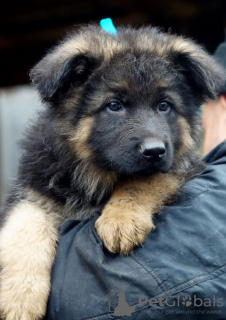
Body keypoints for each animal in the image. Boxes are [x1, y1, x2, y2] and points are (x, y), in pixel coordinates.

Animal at [0, 23, 224, 318]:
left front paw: (122, 220)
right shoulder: (33, 191)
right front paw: (19, 298)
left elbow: (141, 181)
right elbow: (24, 228)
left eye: (164, 105)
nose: (155, 151)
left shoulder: (179, 164)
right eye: (114, 106)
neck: (95, 174)